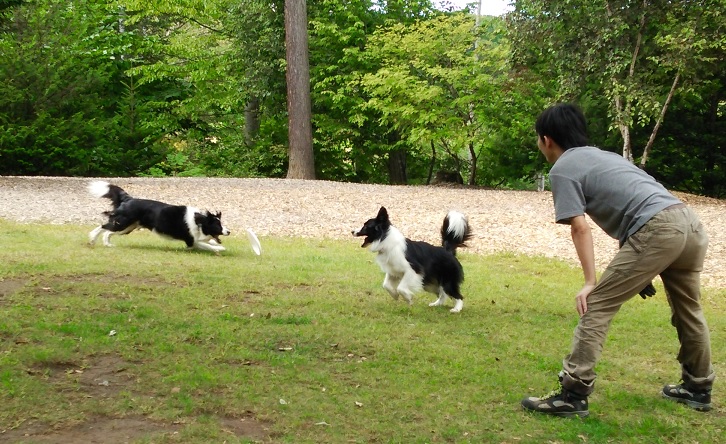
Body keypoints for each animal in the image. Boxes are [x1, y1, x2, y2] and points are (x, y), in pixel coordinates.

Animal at [89, 180, 230, 253]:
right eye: (218, 225)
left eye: (221, 224)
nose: (228, 231)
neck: (199, 220)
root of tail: (128, 199)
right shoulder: (190, 241)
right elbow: (207, 245)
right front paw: (219, 248)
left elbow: (208, 241)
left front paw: (216, 244)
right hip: (123, 223)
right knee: (105, 228)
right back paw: (100, 242)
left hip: (127, 227)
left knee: (106, 229)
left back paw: (99, 242)